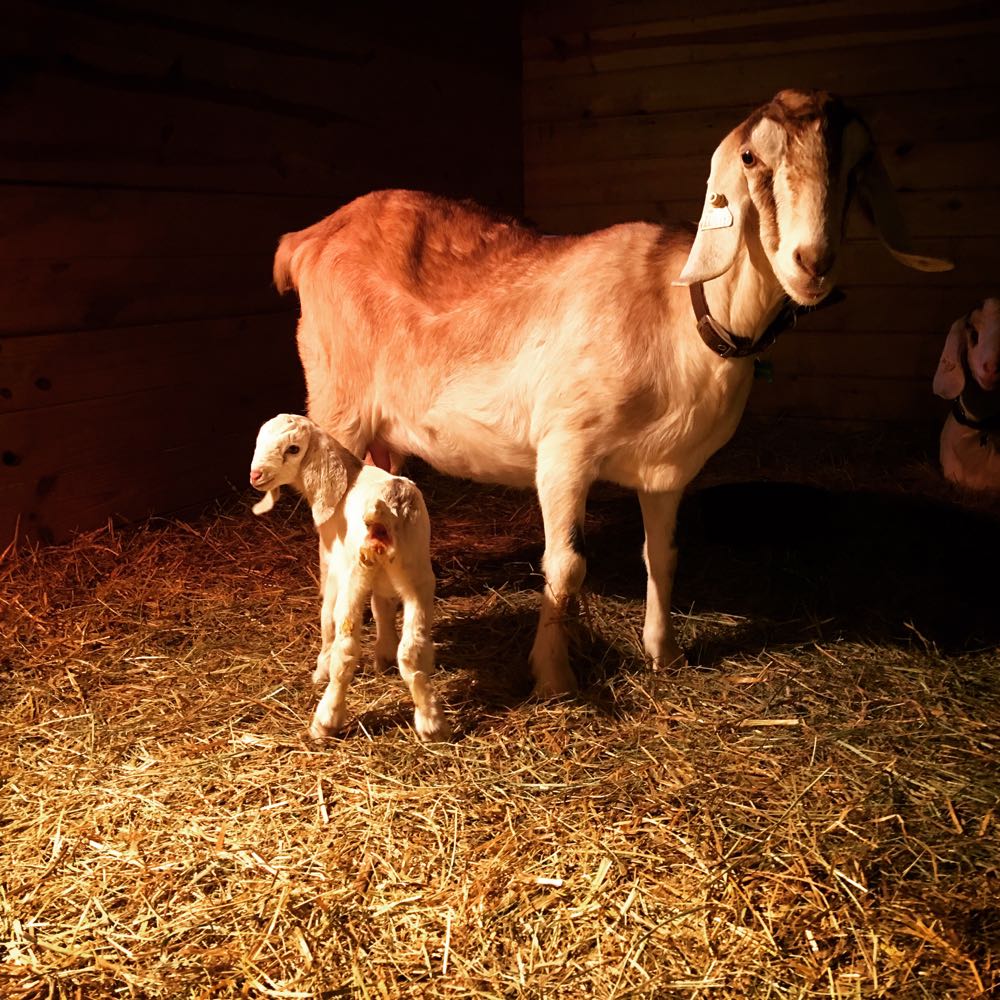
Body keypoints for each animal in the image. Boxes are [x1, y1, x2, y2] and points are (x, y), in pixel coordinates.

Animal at [249, 413, 450, 741]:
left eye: (293, 449)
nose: (256, 475)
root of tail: (386, 513)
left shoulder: (333, 565)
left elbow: (327, 619)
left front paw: (320, 668)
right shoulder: (384, 578)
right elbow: (382, 608)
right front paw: (384, 656)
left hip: (355, 576)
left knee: (346, 648)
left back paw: (326, 720)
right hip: (417, 572)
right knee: (412, 649)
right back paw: (432, 723)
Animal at [273, 88, 952, 696]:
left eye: (858, 165)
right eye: (751, 158)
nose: (813, 263)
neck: (680, 317)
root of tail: (305, 239)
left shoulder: (669, 471)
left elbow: (664, 555)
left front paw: (664, 653)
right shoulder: (564, 451)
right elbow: (566, 566)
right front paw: (553, 677)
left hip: (381, 434)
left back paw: (383, 645)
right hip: (335, 407)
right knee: (329, 540)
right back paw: (334, 658)